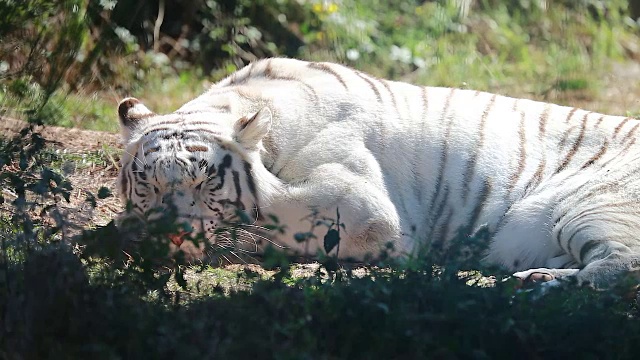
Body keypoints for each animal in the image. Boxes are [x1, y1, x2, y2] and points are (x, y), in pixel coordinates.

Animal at [117, 57, 640, 288]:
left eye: (205, 182)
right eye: (147, 184)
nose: (171, 235)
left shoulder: (367, 210)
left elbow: (271, 200)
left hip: (591, 205)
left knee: (622, 266)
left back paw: (548, 284)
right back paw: (538, 275)